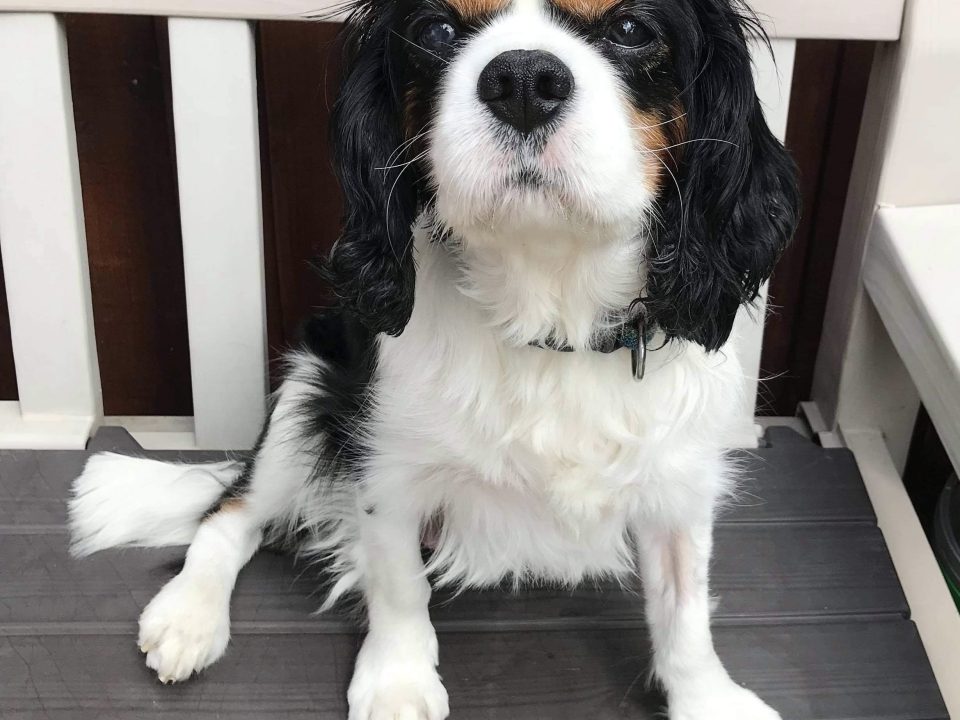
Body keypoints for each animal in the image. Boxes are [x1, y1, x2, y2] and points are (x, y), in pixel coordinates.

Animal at [69, 0, 796, 716]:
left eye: (630, 29)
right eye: (437, 31)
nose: (523, 81)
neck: (547, 309)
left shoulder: (679, 480)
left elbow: (685, 606)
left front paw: (708, 698)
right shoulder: (385, 463)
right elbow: (398, 584)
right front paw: (398, 681)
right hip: (308, 391)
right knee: (233, 512)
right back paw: (189, 617)